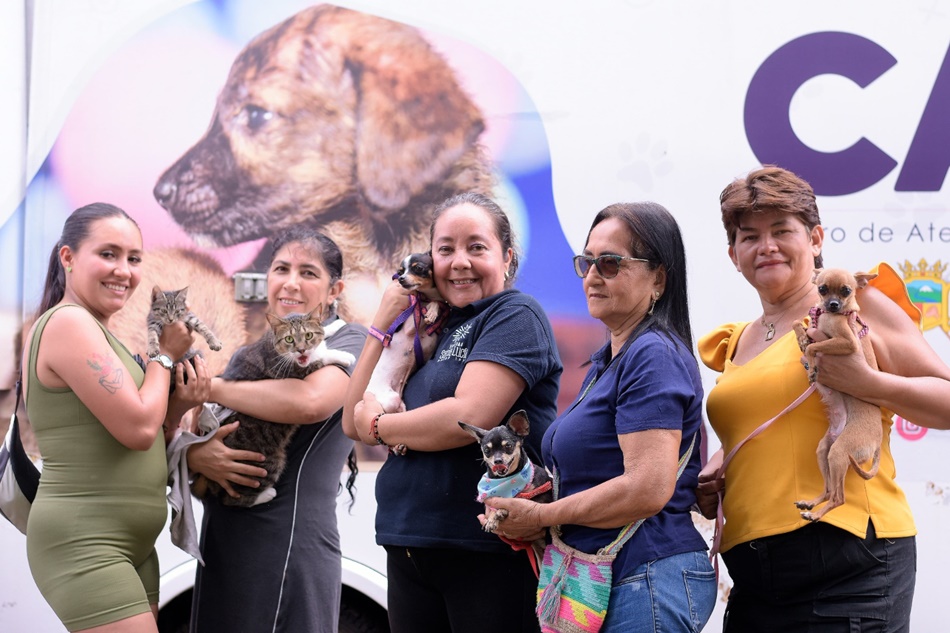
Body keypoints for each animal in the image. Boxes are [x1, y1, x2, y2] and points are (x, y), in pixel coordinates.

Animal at [191, 307, 355, 507]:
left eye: (308, 335)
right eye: (289, 339)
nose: (301, 350)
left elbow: (321, 338)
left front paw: (333, 325)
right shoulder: (297, 372)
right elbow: (320, 358)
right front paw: (344, 355)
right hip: (269, 463)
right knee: (233, 499)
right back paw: (267, 494)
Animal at [365, 252, 447, 416]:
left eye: (418, 268)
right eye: (400, 271)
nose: (401, 278)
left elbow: (437, 303)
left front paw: (433, 311)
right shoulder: (411, 323)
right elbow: (430, 304)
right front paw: (431, 311)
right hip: (391, 399)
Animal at [792, 268, 881, 522]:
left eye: (846, 291)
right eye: (822, 289)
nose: (832, 304)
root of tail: (877, 441)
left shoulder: (847, 342)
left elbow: (814, 348)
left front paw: (812, 366)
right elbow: (797, 323)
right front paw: (802, 338)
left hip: (839, 453)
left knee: (839, 497)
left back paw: (815, 514)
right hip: (825, 450)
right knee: (829, 490)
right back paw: (811, 504)